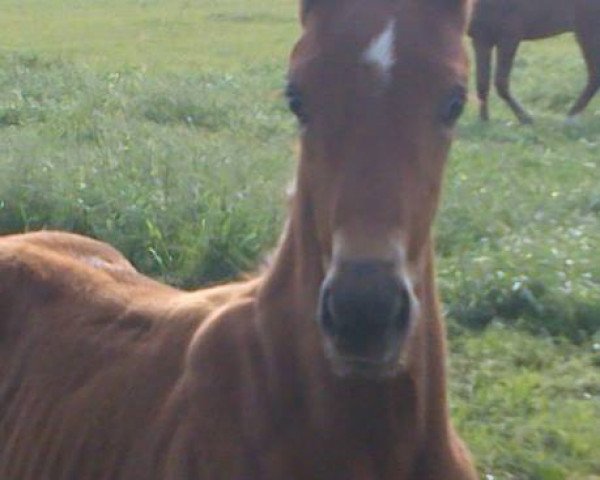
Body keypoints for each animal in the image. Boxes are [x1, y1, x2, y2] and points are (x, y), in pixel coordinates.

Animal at [468, 0, 600, 124]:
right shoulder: (481, 40)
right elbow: (482, 82)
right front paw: (484, 120)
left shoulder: (508, 38)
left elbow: (501, 83)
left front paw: (525, 118)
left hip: (587, 31)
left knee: (594, 76)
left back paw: (571, 117)